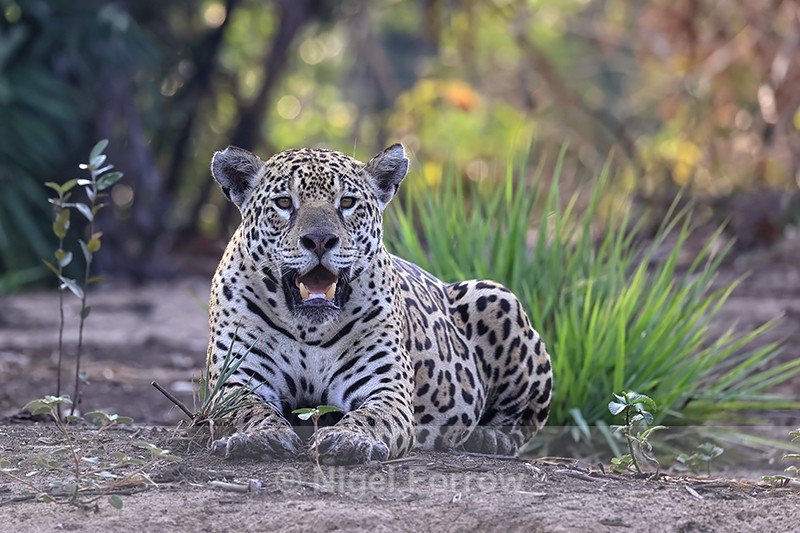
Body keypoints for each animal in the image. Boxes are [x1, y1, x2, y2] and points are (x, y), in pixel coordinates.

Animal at [206, 143, 552, 465]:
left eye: (347, 203)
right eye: (283, 203)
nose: (319, 240)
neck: (309, 331)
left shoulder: (386, 387)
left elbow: (373, 417)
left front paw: (347, 438)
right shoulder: (237, 380)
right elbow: (245, 410)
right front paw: (259, 437)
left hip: (496, 296)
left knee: (526, 419)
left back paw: (489, 438)